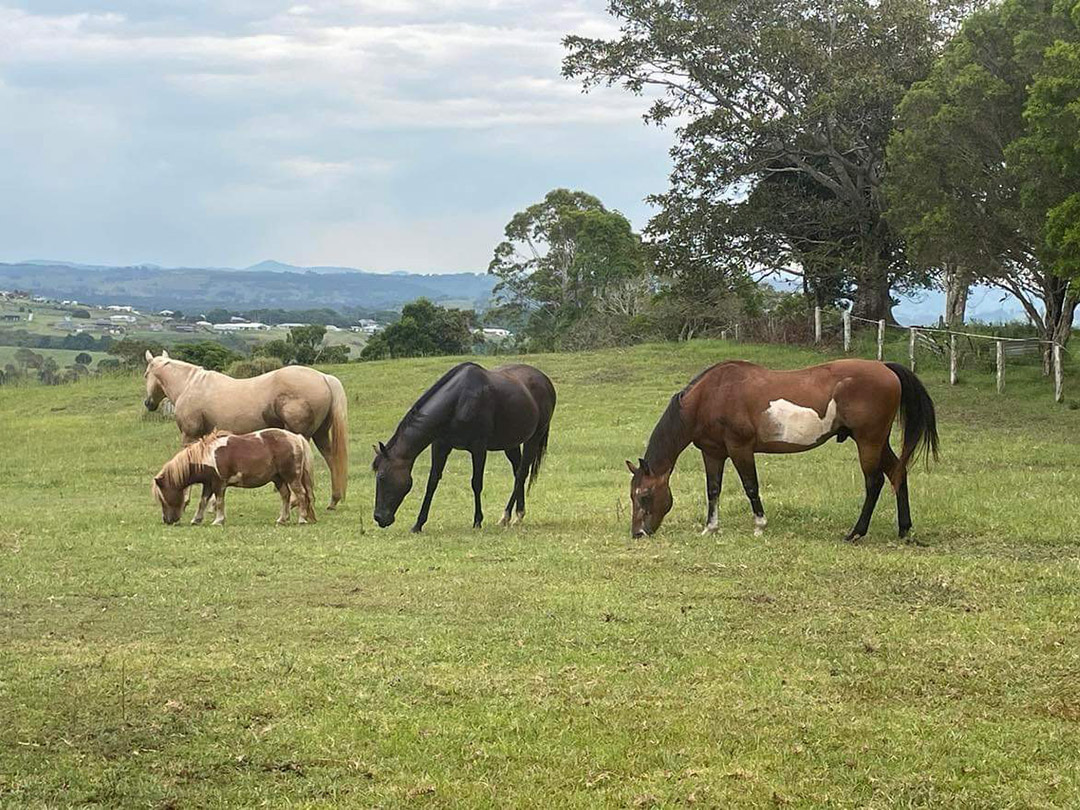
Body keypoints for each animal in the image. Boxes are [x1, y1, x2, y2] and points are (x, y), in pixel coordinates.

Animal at [143, 350, 348, 510]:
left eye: (146, 374)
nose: (148, 403)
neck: (189, 385)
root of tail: (323, 377)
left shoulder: (189, 437)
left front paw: (187, 500)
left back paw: (296, 502)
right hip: (320, 435)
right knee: (332, 460)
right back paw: (332, 500)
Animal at [152, 429, 316, 526]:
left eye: (162, 497)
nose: (167, 520)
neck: (208, 456)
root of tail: (297, 438)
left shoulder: (219, 484)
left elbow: (219, 502)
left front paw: (218, 521)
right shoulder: (208, 484)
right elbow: (202, 502)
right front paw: (196, 520)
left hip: (292, 477)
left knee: (301, 495)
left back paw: (302, 519)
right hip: (278, 479)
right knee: (286, 496)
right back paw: (282, 519)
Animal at [372, 362, 556, 533]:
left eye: (381, 477)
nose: (379, 517)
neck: (458, 401)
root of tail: (545, 380)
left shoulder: (478, 448)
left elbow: (476, 483)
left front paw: (477, 521)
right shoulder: (440, 446)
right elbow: (432, 482)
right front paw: (418, 524)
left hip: (534, 438)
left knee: (521, 474)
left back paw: (510, 516)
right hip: (511, 443)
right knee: (518, 472)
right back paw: (514, 515)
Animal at [627, 359, 939, 542]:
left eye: (644, 495)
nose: (638, 533)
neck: (710, 397)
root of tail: (884, 367)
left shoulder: (740, 448)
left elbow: (751, 487)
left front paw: (759, 525)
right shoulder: (713, 452)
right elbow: (713, 490)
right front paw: (710, 528)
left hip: (868, 441)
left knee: (874, 483)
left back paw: (856, 533)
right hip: (877, 441)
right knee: (898, 473)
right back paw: (904, 529)